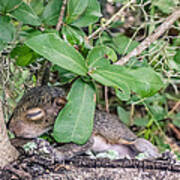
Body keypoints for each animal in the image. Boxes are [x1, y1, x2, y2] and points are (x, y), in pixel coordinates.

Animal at [8, 86, 159, 160]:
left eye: (34, 114)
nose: (11, 128)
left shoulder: (82, 136)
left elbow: (74, 147)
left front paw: (56, 153)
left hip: (137, 143)